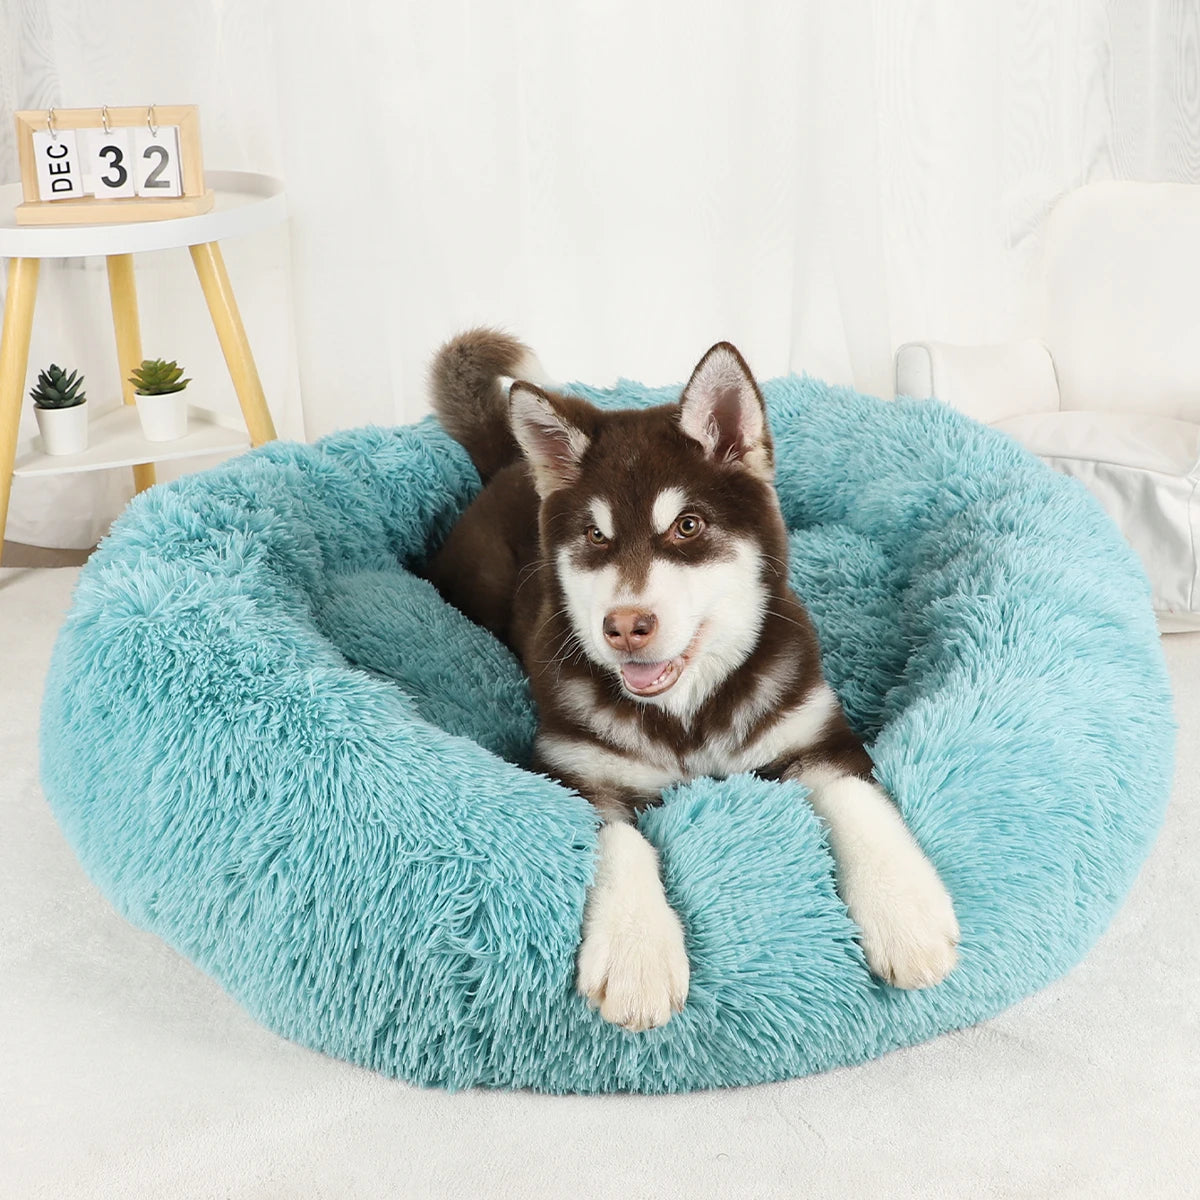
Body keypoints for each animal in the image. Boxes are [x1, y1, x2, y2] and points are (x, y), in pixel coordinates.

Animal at [427, 331, 960, 1032]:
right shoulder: (572, 766)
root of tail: (509, 464)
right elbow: (620, 840)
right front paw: (636, 954)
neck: (688, 713)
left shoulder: (814, 730)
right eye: (595, 535)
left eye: (687, 526)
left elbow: (858, 800)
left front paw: (906, 911)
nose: (625, 628)